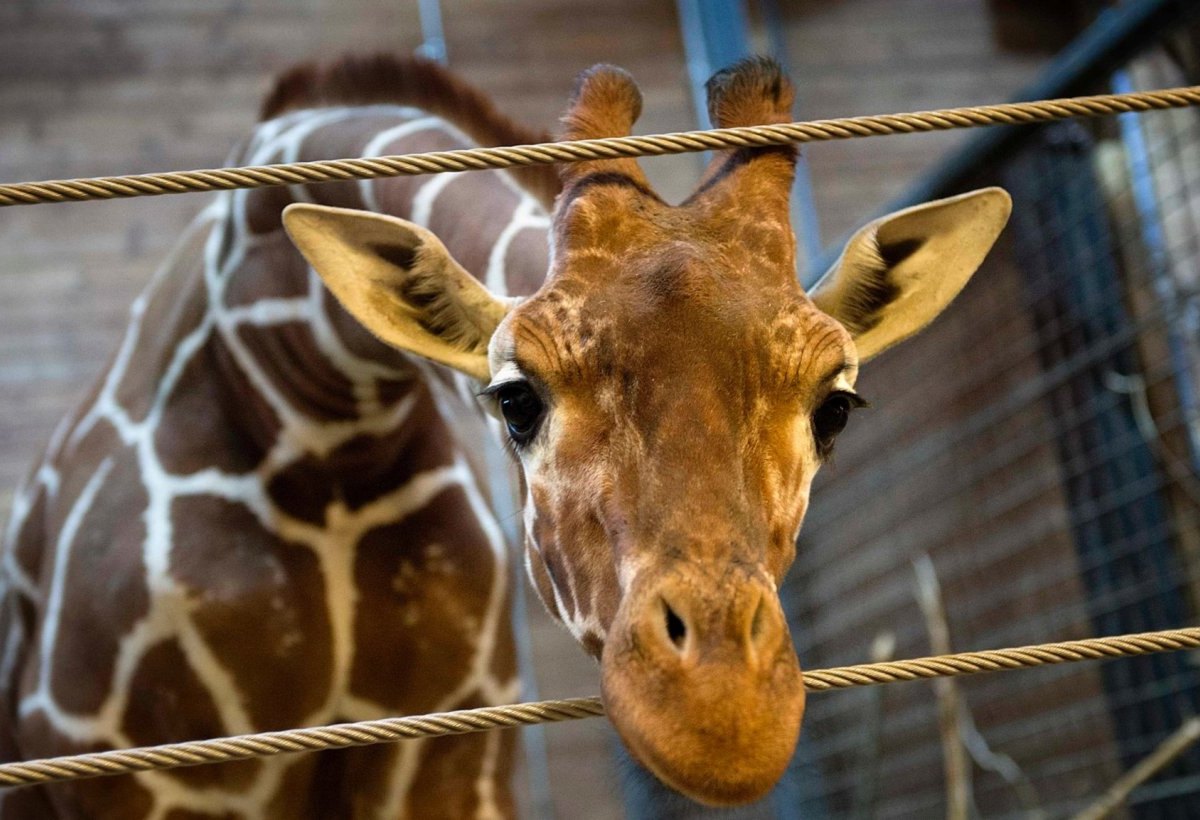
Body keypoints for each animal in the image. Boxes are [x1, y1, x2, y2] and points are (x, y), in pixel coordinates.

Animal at [0, 54, 1012, 816]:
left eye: (834, 405)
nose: (721, 717)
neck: (316, 418)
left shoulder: (449, 759)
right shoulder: (133, 776)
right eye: (517, 399)